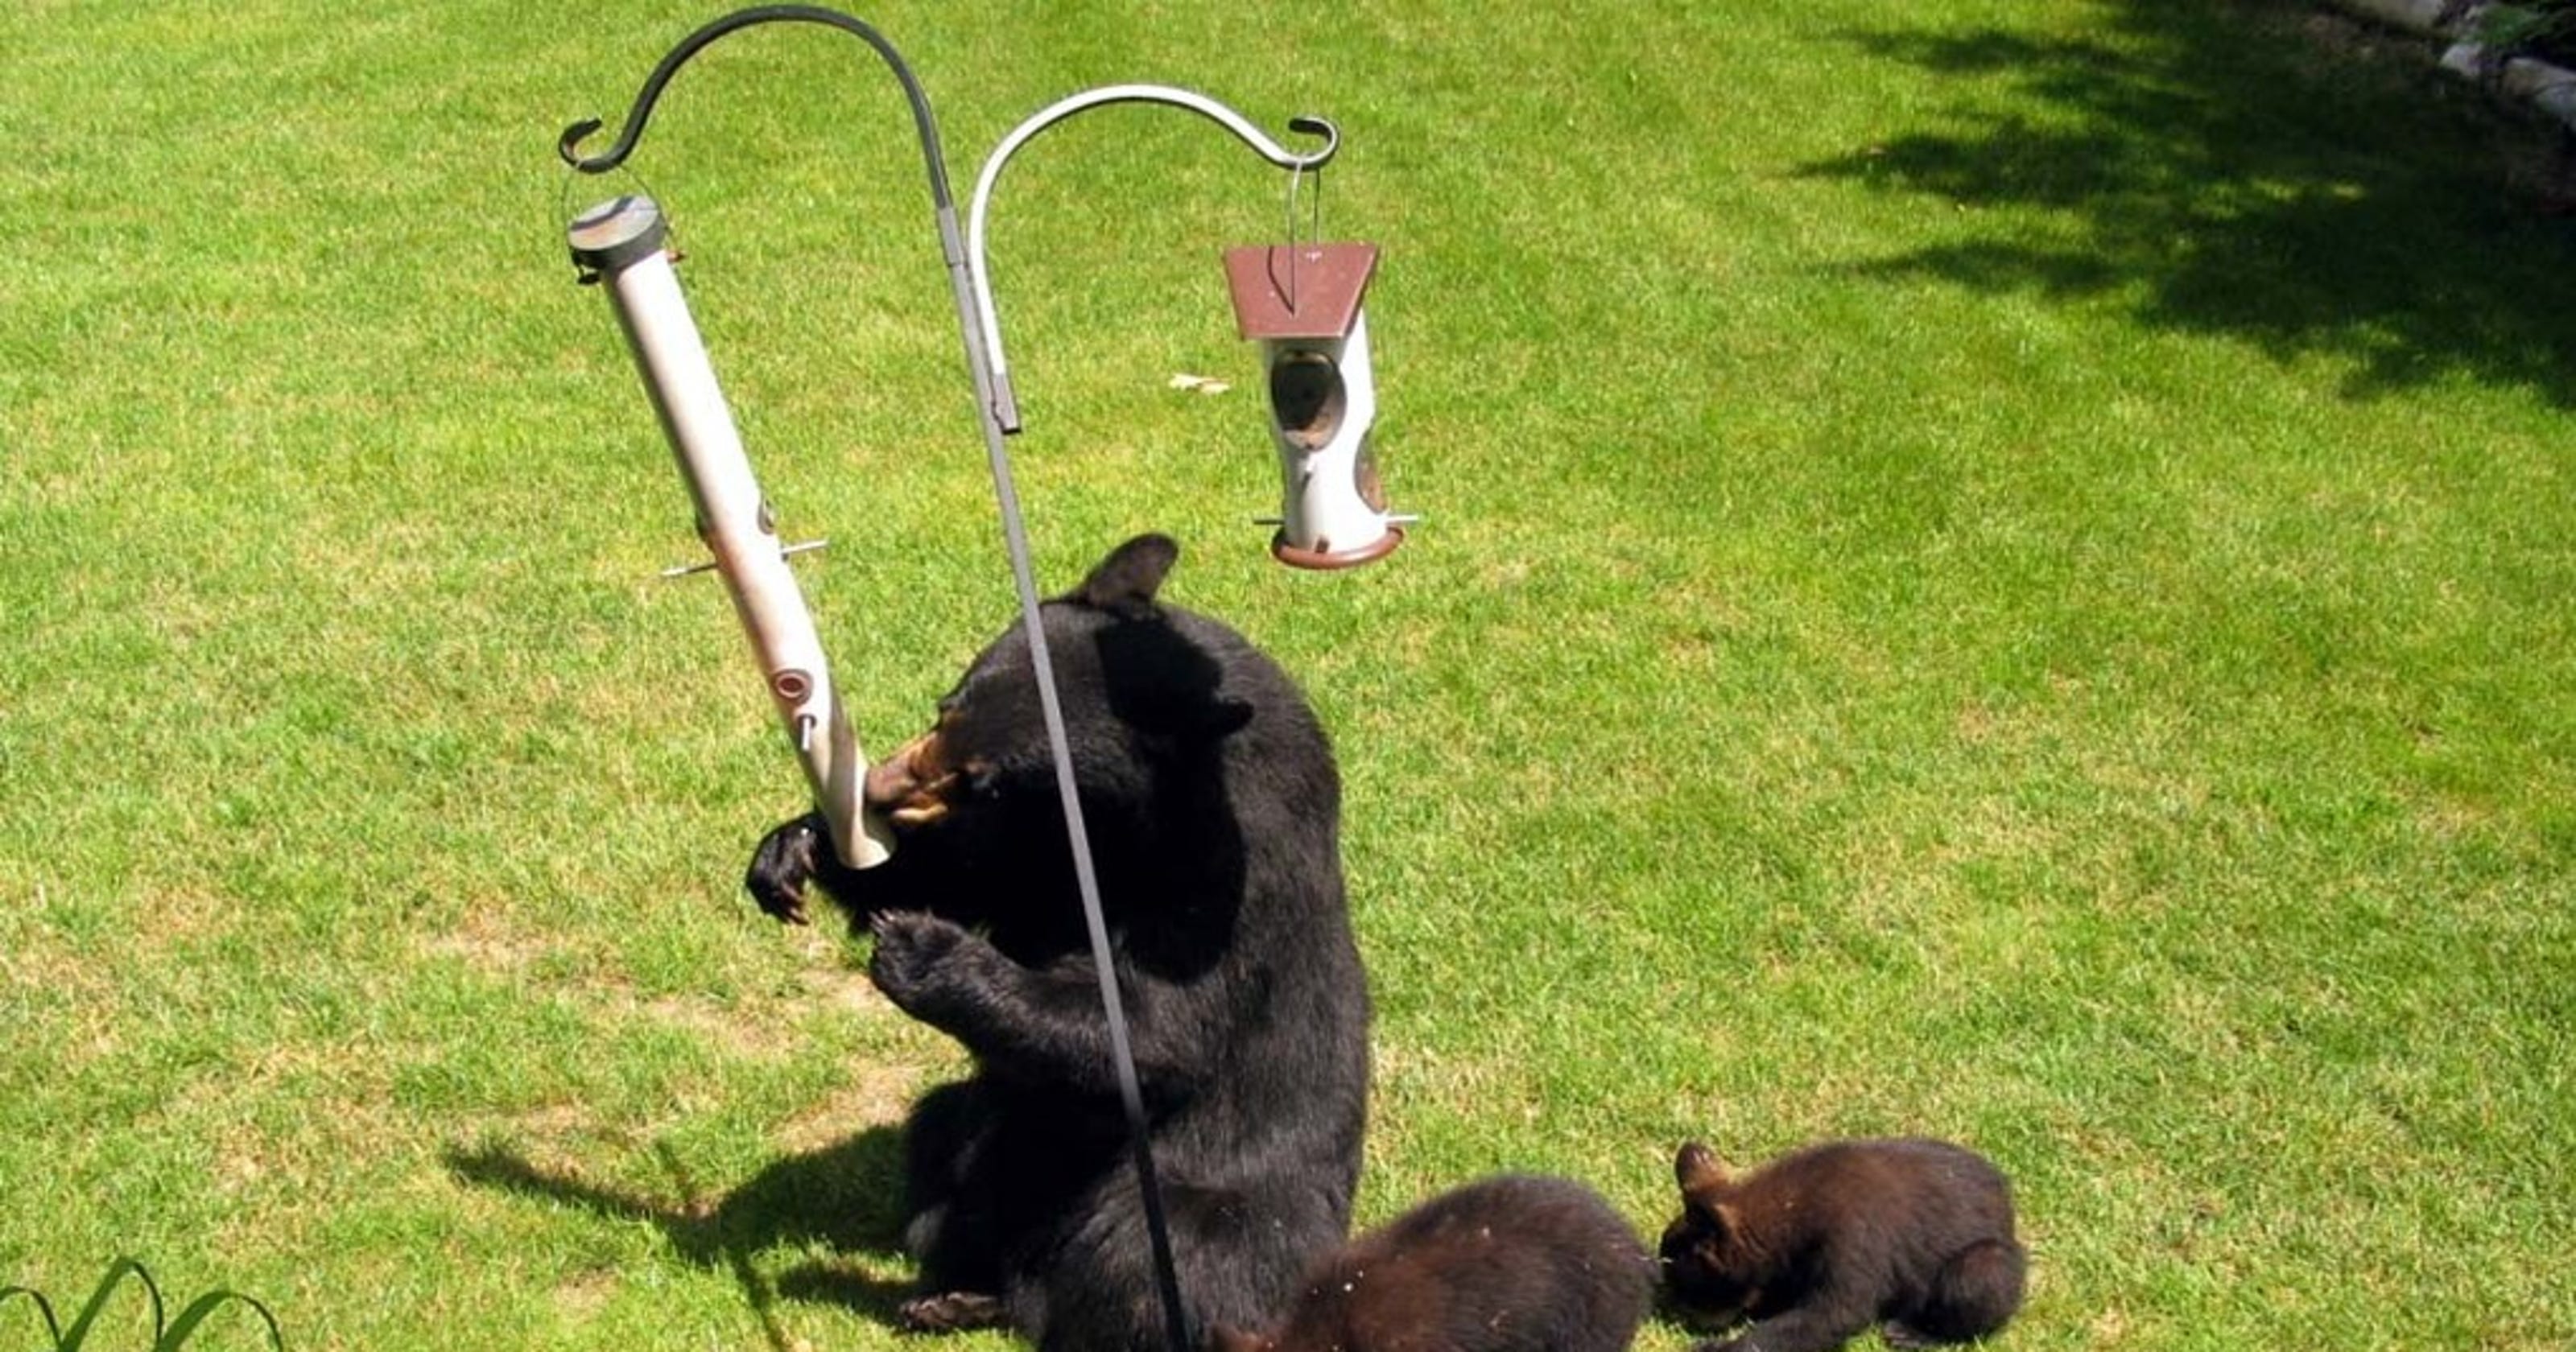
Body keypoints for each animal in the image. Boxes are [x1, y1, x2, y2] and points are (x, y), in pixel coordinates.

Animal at [743, 533, 1373, 1352]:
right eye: (945, 706)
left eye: (985, 776)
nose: (879, 789)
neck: (1121, 823)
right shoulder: (1039, 845)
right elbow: (968, 874)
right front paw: (798, 847)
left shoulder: (1232, 879)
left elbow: (1154, 1024)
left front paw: (922, 948)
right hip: (988, 1127)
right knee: (946, 1145)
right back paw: (958, 1294)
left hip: (1219, 1202)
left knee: (1167, 1252)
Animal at [1658, 1137, 2026, 1352]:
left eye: (1681, 1286)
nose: (1670, 1316)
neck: (1788, 1214)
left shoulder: (1854, 1239)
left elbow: (1833, 1314)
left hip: (1985, 1260)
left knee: (1979, 1277)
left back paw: (1917, 1334)